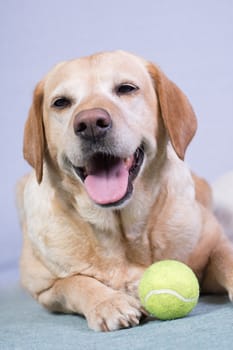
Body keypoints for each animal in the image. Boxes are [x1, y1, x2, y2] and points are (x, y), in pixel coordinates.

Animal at [17, 50, 233, 330]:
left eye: (126, 88)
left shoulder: (213, 249)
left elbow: (225, 257)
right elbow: (75, 282)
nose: (91, 123)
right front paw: (108, 302)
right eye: (61, 102)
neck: (123, 232)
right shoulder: (44, 290)